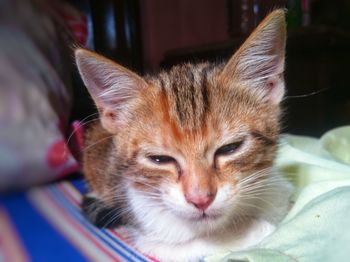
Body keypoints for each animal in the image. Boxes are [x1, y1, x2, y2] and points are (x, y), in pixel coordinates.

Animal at [75, 9, 292, 262]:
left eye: (231, 148)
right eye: (159, 159)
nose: (201, 199)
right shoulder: (148, 235)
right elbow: (197, 243)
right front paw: (253, 231)